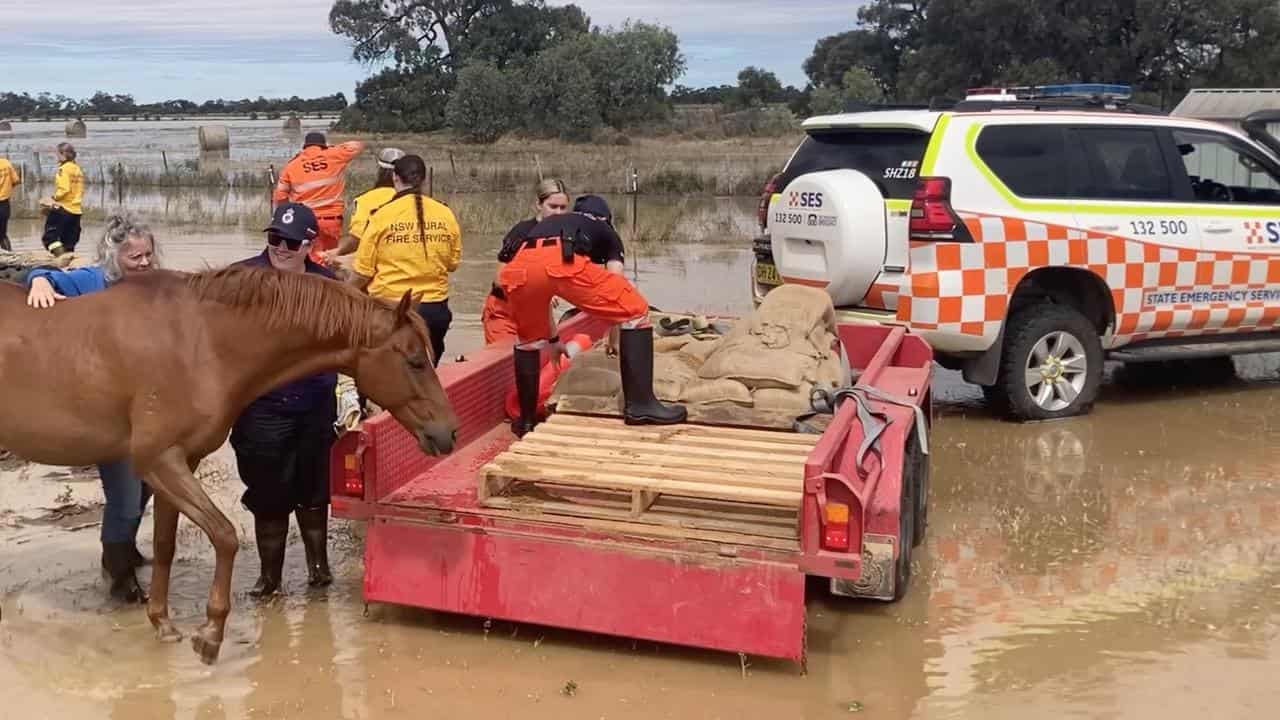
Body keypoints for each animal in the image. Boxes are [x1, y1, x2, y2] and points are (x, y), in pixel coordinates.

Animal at [0, 263, 458, 661]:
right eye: (414, 360)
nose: (448, 433)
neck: (201, 343)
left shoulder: (181, 462)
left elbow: (164, 545)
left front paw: (163, 623)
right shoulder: (159, 461)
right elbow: (224, 535)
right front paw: (210, 634)